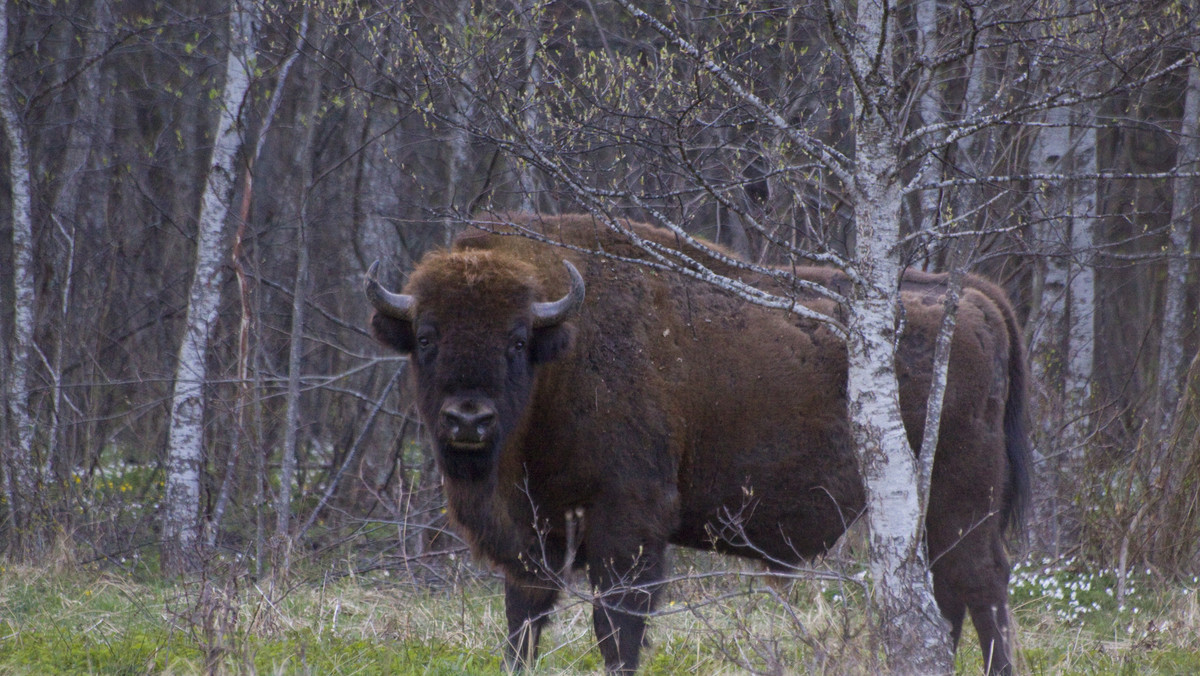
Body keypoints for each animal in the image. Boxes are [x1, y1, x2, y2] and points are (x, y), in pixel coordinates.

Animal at [364, 211, 1032, 672]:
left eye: (515, 339)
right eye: (427, 336)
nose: (468, 420)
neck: (562, 354)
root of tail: (972, 298)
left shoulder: (628, 522)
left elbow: (617, 626)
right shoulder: (535, 538)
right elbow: (522, 624)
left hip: (960, 500)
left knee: (979, 584)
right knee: (948, 592)